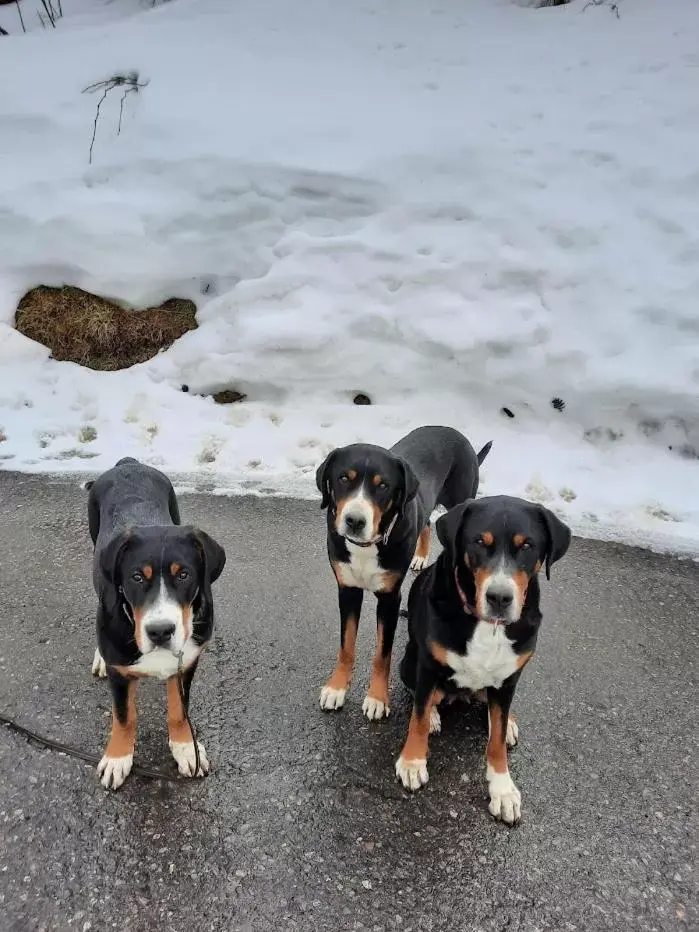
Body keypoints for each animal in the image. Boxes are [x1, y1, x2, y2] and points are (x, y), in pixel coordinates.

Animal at [86, 456, 226, 788]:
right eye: (137, 577)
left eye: (184, 574)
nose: (160, 631)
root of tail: (128, 463)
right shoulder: (120, 673)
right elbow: (124, 717)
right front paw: (118, 758)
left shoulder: (186, 663)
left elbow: (179, 711)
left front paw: (186, 748)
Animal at [318, 428, 492, 720]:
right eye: (343, 478)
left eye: (382, 485)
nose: (354, 521)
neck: (367, 547)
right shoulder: (348, 589)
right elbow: (346, 645)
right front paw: (337, 687)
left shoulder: (390, 598)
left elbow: (383, 654)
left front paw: (377, 698)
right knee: (427, 521)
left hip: (461, 500)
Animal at [396, 496, 572, 824]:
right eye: (479, 541)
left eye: (527, 546)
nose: (500, 597)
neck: (488, 626)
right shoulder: (427, 665)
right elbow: (418, 716)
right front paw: (413, 762)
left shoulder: (509, 677)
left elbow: (497, 741)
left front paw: (502, 789)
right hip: (408, 662)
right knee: (425, 699)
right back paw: (436, 715)